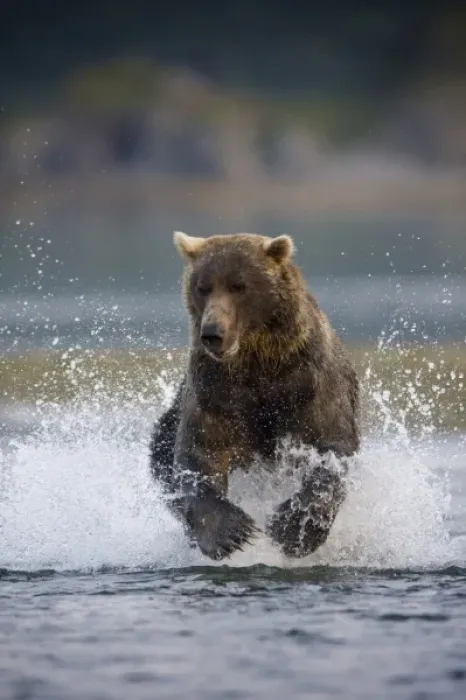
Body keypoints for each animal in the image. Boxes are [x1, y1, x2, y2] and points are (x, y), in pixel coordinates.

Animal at [149, 231, 360, 561]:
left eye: (239, 285)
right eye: (202, 287)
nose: (213, 333)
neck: (256, 364)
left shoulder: (307, 383)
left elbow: (331, 448)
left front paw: (292, 527)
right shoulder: (216, 390)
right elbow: (200, 453)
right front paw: (230, 532)